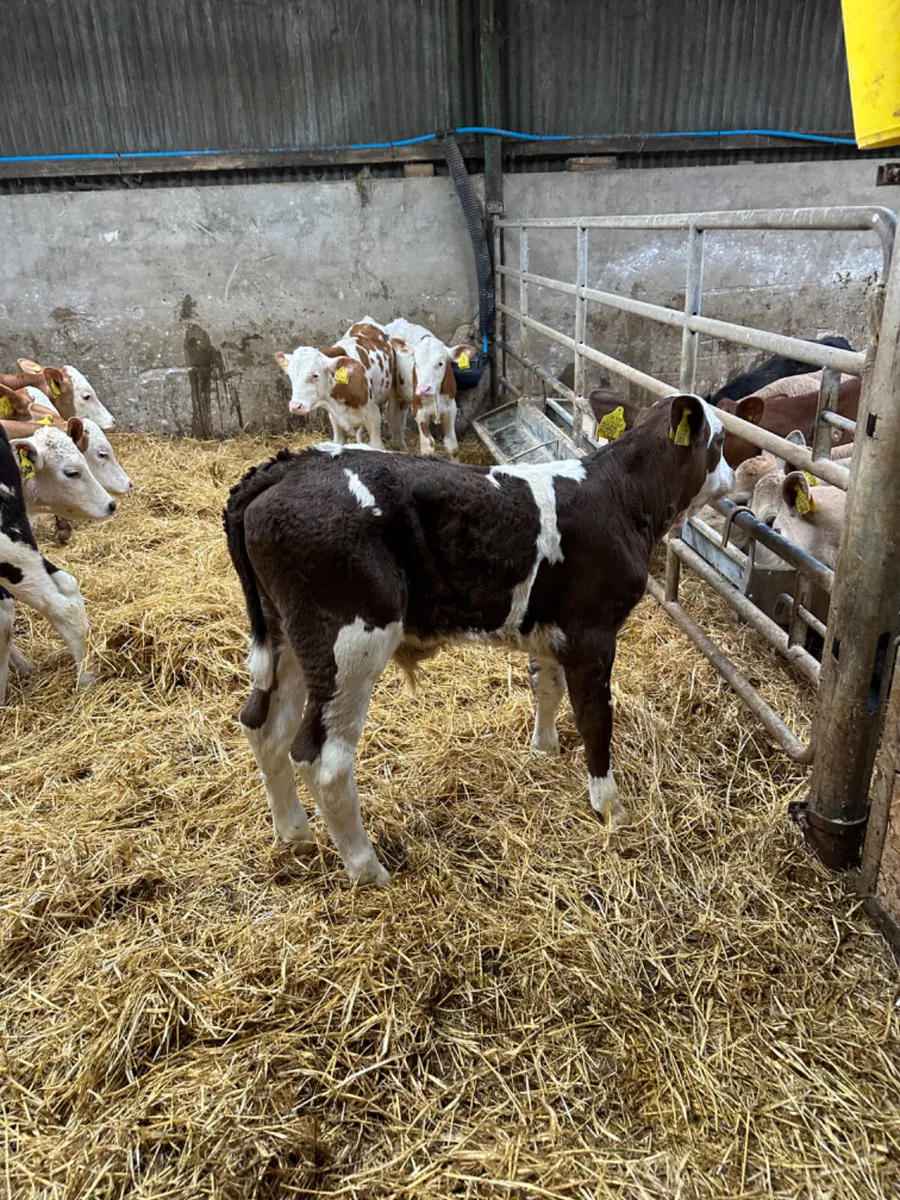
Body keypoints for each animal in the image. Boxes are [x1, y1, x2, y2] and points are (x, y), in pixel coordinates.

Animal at [224, 393, 734, 886]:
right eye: (722, 440)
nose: (731, 478)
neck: (621, 496)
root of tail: (287, 466)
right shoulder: (593, 633)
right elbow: (595, 718)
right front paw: (610, 805)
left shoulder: (550, 627)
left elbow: (547, 687)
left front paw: (544, 749)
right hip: (351, 643)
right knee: (323, 759)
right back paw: (368, 870)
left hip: (286, 638)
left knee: (262, 725)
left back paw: (294, 833)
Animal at [275, 318, 402, 450]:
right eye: (290, 375)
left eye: (315, 375)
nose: (295, 406)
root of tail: (367, 321)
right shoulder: (335, 422)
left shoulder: (373, 418)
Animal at [384, 318, 476, 458]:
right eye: (415, 363)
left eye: (441, 363)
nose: (423, 389)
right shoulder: (420, 411)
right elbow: (428, 446)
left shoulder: (450, 409)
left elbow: (452, 446)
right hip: (394, 389)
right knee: (392, 414)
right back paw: (397, 446)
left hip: (407, 395)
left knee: (401, 416)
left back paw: (403, 447)